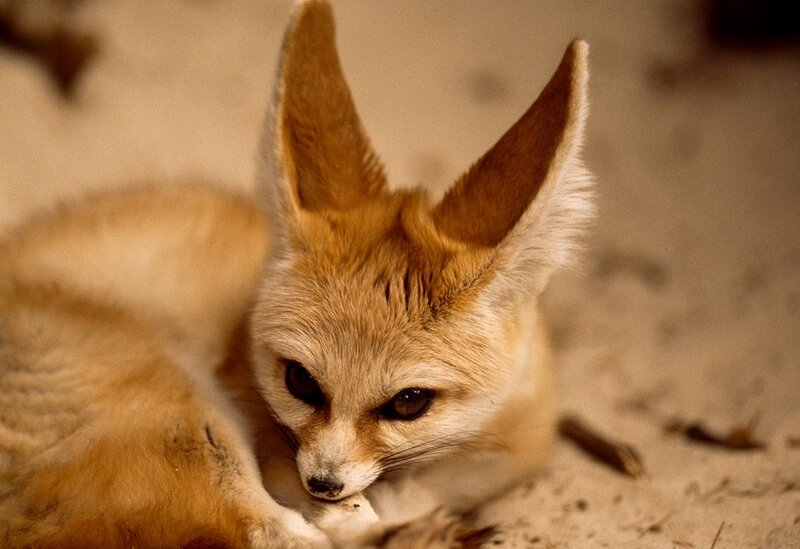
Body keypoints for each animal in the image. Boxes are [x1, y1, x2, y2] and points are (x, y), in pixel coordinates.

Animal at [0, 0, 593, 547]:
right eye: (301, 380)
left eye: (409, 402)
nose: (323, 483)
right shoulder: (264, 430)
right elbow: (335, 516)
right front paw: (387, 519)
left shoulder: (506, 449)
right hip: (180, 404)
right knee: (270, 532)